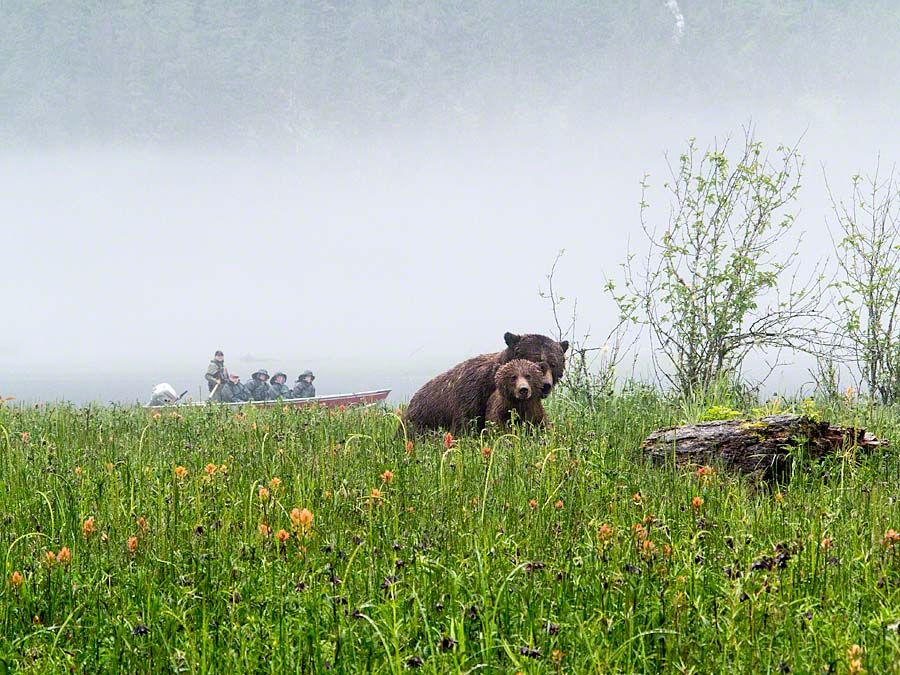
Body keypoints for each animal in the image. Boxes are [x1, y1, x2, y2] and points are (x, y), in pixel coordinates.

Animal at [402, 332, 568, 434]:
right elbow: (465, 427)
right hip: (421, 420)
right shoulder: (471, 397)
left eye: (553, 363)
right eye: (536, 360)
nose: (546, 385)